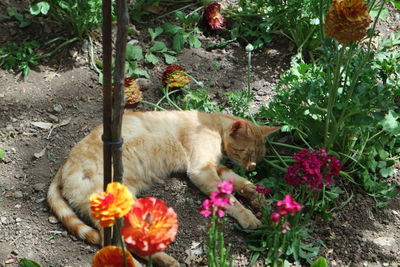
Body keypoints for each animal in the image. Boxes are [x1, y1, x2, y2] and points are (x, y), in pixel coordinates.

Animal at [47, 110, 278, 266]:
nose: (252, 167)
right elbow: (231, 200)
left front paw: (258, 197)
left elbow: (239, 182)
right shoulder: (201, 169)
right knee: (112, 241)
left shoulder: (216, 168)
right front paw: (249, 217)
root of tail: (64, 164)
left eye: (258, 157)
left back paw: (164, 260)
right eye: (246, 153)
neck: (212, 124)